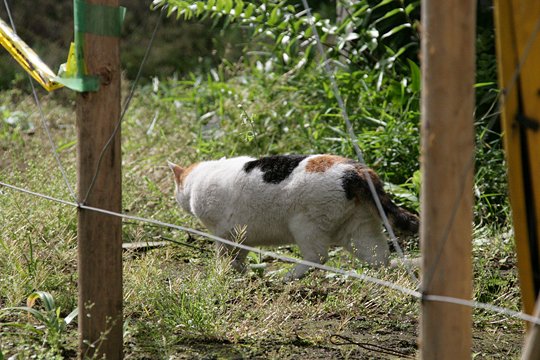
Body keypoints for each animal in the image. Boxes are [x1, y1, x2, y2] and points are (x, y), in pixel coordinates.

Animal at [169, 153, 418, 280]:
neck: (197, 180)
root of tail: (355, 170)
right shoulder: (243, 234)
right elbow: (239, 256)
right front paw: (243, 272)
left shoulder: (224, 232)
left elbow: (225, 255)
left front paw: (226, 273)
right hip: (360, 230)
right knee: (380, 259)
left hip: (305, 225)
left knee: (317, 257)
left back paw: (287, 275)